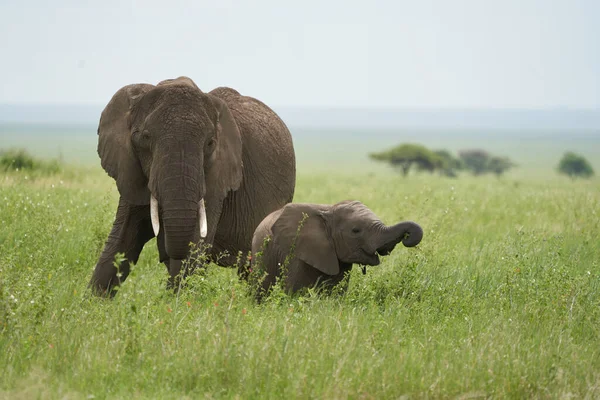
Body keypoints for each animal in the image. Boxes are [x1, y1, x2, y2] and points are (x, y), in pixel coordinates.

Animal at [89, 76, 296, 296]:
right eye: (145, 137)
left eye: (210, 143)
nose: (164, 254)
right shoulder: (131, 170)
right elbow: (119, 240)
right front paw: (93, 300)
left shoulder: (216, 178)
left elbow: (195, 244)